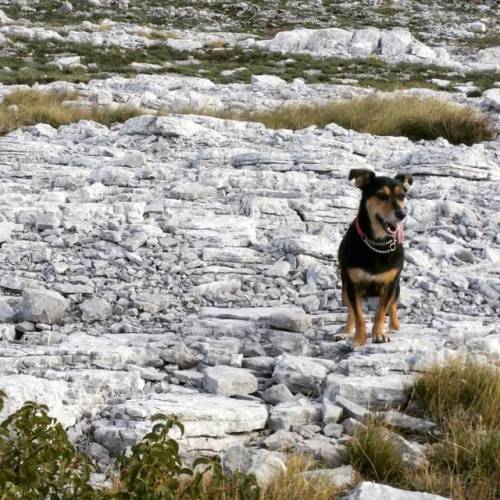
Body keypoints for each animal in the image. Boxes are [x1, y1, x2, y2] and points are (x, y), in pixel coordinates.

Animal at [336, 170, 414, 346]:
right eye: (381, 195)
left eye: (401, 196)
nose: (402, 214)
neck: (378, 243)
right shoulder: (352, 286)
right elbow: (358, 315)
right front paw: (359, 339)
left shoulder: (390, 285)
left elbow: (381, 312)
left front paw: (379, 334)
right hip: (344, 288)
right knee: (351, 311)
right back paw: (346, 332)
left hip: (397, 288)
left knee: (393, 306)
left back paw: (395, 325)